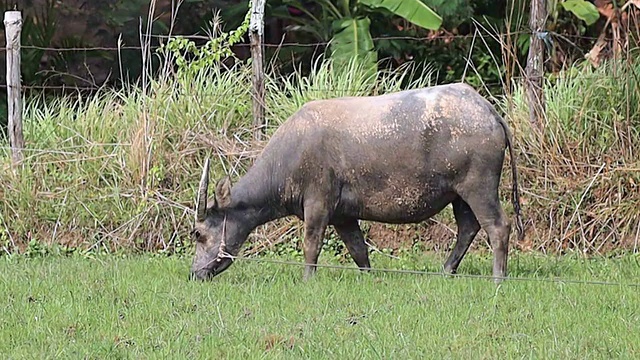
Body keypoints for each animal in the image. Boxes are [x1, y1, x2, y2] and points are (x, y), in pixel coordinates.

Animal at [190, 83, 524, 282]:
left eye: (198, 234)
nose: (195, 273)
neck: (291, 153)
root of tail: (487, 110)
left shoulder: (318, 204)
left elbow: (311, 244)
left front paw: (308, 279)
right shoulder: (343, 215)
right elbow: (358, 248)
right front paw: (367, 276)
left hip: (479, 187)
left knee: (497, 226)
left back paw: (498, 277)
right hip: (459, 195)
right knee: (468, 227)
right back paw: (446, 270)